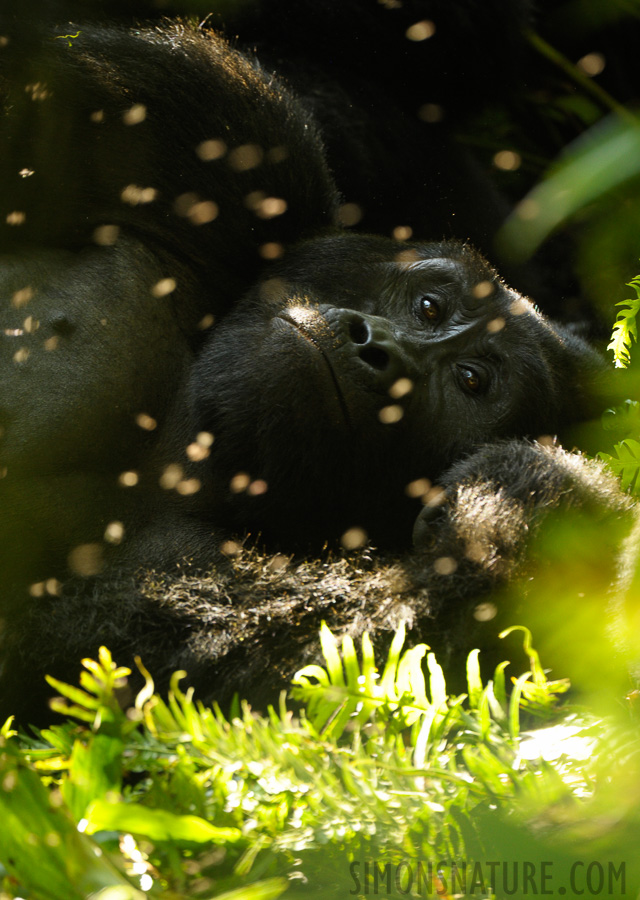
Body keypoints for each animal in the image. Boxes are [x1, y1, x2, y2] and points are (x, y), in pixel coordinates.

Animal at [0, 21, 632, 724]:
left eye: (471, 381)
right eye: (430, 306)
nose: (377, 349)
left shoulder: (174, 562)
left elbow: (325, 660)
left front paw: (528, 506)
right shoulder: (225, 143)